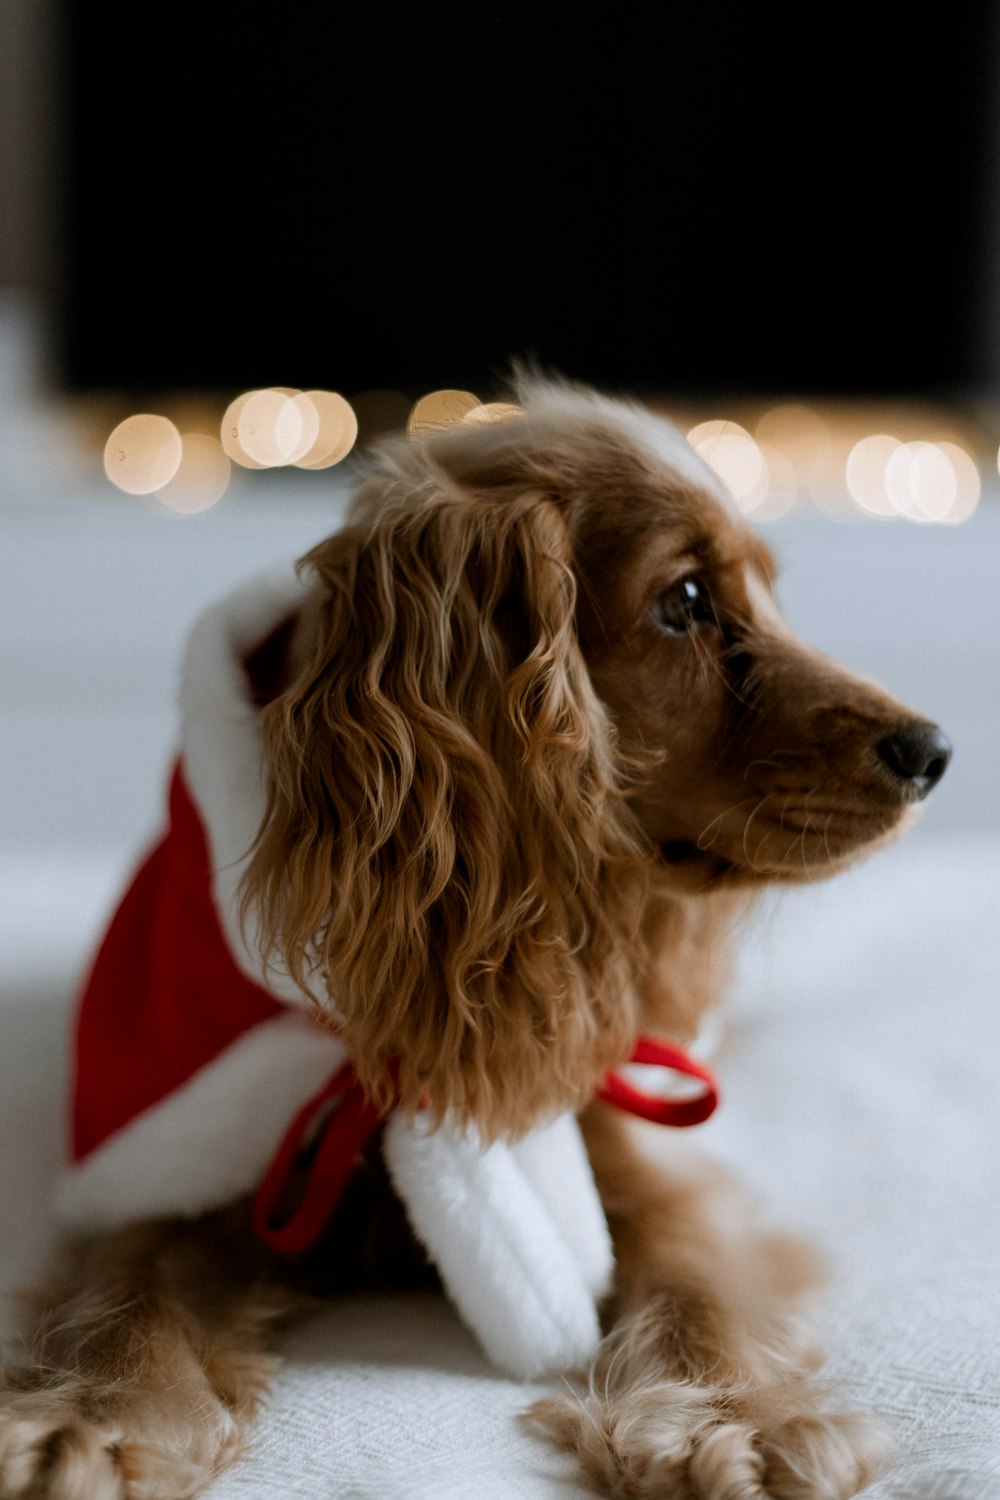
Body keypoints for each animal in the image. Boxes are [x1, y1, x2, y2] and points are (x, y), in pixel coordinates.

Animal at [0, 378, 953, 1500]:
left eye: (766, 595)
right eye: (682, 601)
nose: (934, 750)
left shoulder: (620, 1123)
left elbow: (696, 1273)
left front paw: (737, 1416)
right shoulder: (169, 1158)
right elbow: (129, 1285)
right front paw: (93, 1415)